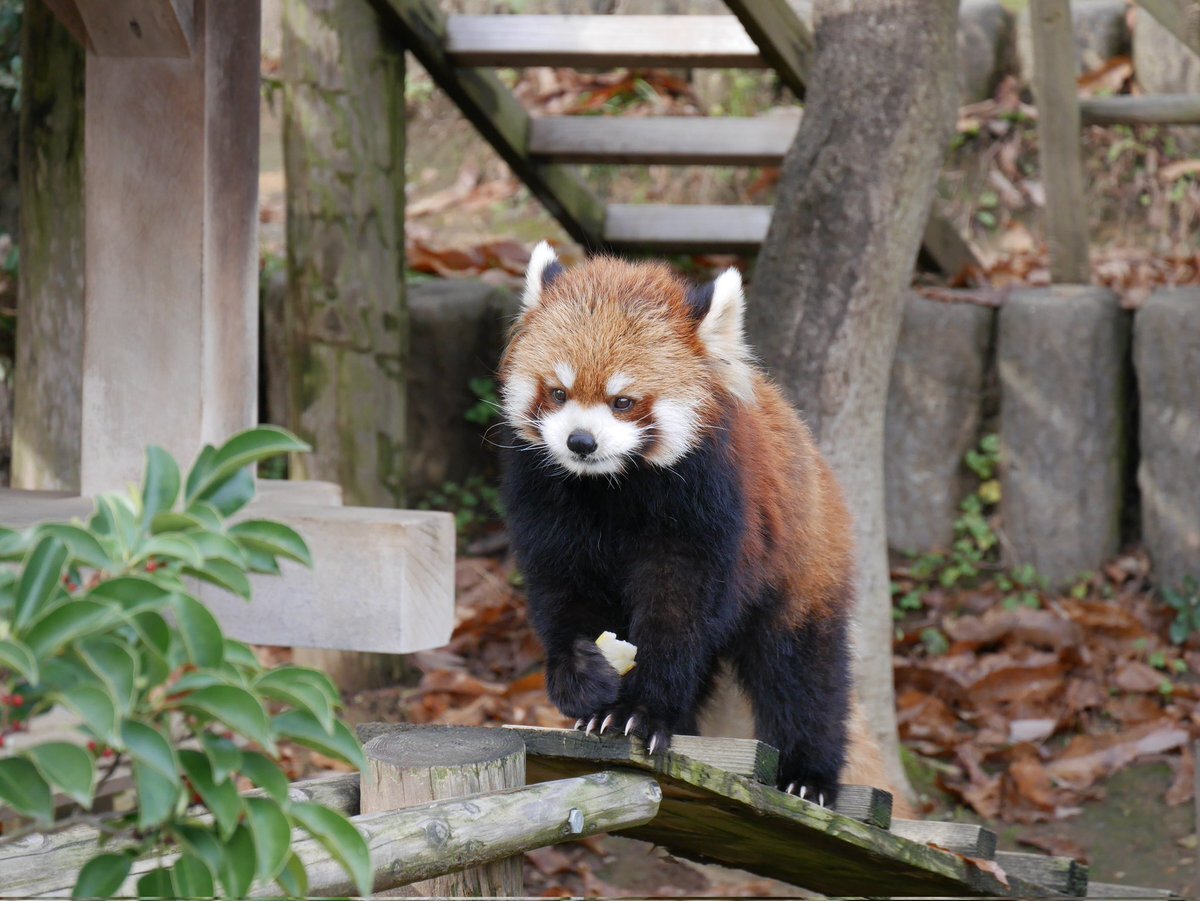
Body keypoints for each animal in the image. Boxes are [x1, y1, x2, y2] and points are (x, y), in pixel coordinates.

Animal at [496, 243, 892, 806]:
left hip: (806, 560)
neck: (610, 488)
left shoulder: (704, 509)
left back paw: (808, 776)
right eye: (557, 393)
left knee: (801, 670)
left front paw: (640, 712)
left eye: (623, 401)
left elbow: (679, 609)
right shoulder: (547, 506)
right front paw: (583, 680)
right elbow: (562, 594)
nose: (580, 442)